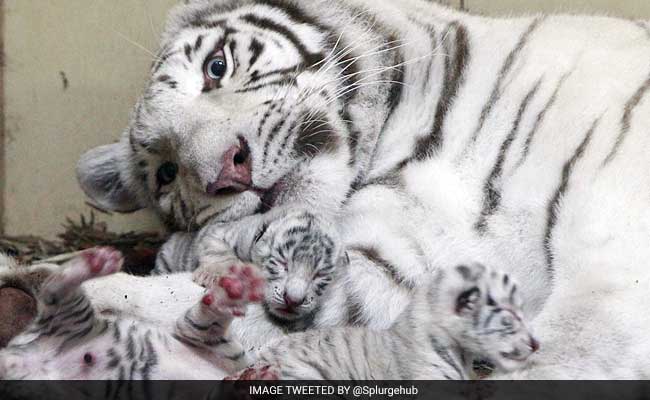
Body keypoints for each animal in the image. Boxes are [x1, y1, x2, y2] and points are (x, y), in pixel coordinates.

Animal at [5, 0, 648, 378]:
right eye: (165, 172)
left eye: (217, 67)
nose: (227, 170)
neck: (409, 139)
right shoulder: (391, 267)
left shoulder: (614, 269)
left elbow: (572, 350)